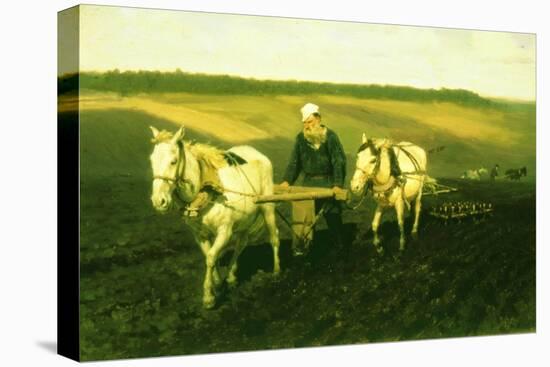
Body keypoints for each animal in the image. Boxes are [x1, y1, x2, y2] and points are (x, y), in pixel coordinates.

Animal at [150, 126, 282, 310]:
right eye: (152, 161)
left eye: (173, 161)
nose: (159, 201)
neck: (207, 187)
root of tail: (259, 154)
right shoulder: (200, 234)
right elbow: (210, 256)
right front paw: (218, 282)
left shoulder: (224, 231)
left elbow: (212, 257)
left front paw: (209, 297)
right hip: (244, 219)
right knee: (241, 244)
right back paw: (232, 277)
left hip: (267, 207)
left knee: (273, 236)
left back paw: (276, 271)